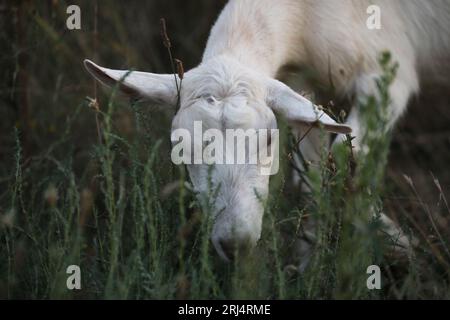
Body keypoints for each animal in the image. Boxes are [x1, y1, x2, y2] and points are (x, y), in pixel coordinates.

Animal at [84, 0, 450, 262]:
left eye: (269, 140)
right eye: (180, 147)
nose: (235, 243)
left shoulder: (388, 71)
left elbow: (346, 155)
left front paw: (391, 240)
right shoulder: (304, 83)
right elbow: (311, 175)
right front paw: (308, 258)